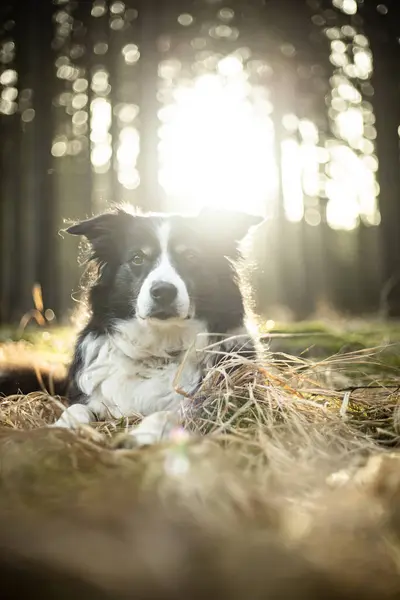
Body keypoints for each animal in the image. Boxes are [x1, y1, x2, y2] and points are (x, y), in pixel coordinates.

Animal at [0, 206, 262, 446]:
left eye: (190, 256)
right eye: (137, 258)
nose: (163, 291)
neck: (158, 349)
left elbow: (169, 414)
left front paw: (141, 436)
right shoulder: (92, 397)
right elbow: (76, 410)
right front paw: (61, 429)